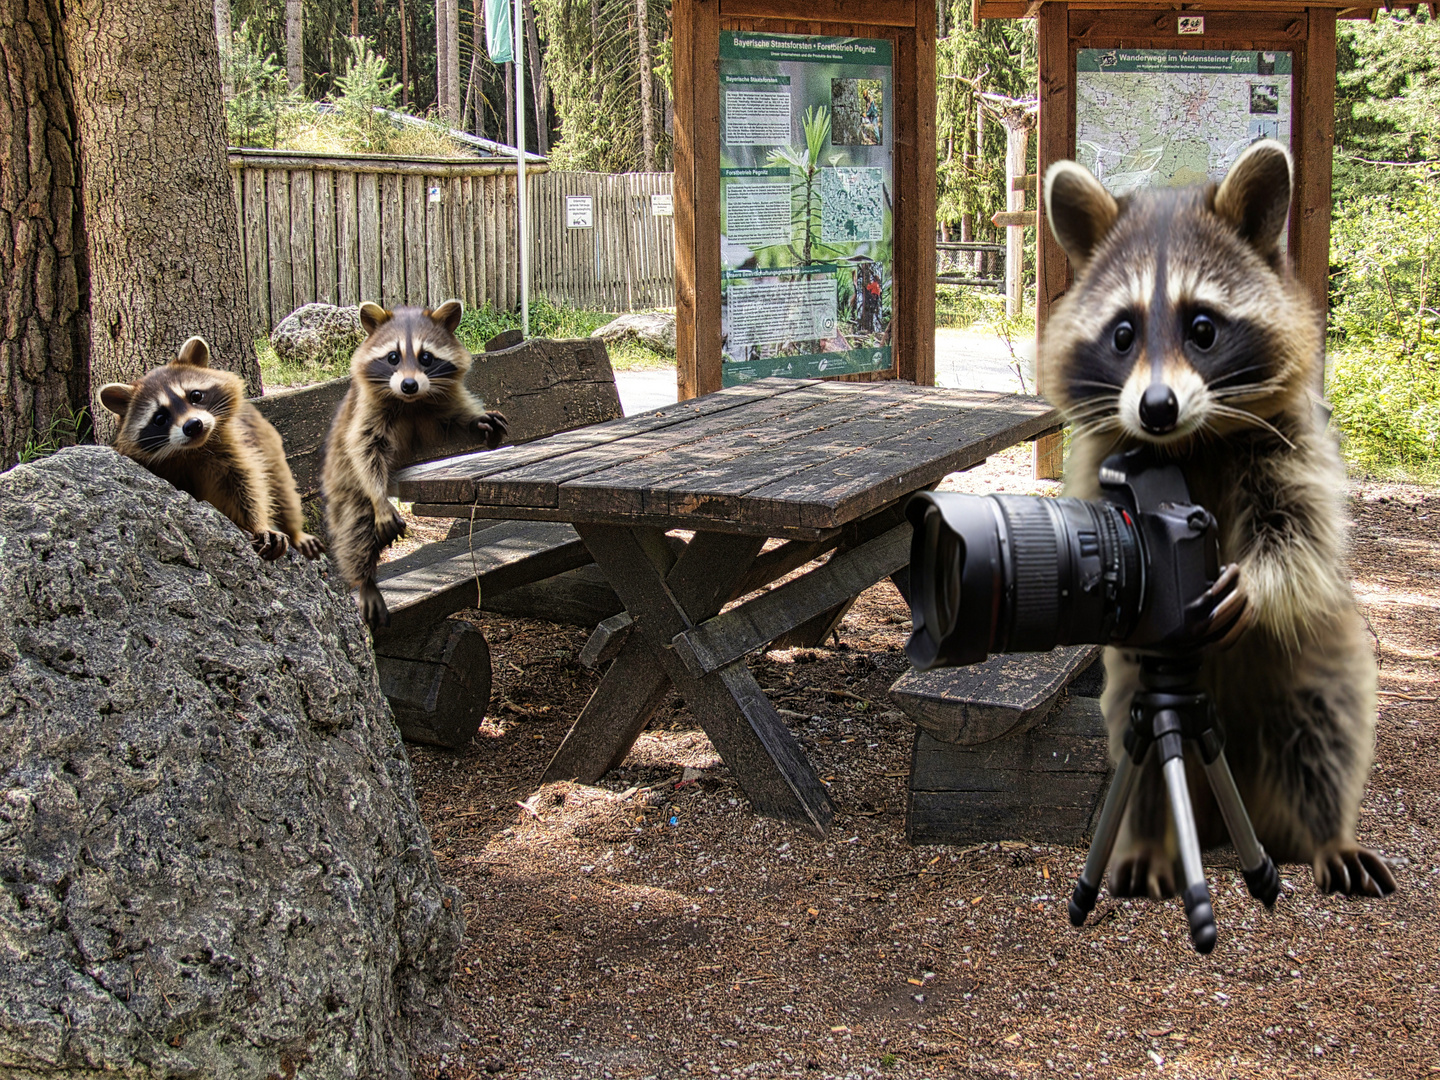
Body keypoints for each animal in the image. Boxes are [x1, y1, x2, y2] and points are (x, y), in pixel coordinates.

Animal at [100, 338, 324, 561]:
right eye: (160, 418)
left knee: (281, 489)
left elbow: (247, 488)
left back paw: (294, 531)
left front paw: (258, 524)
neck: (194, 450)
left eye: (195, 395)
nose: (193, 425)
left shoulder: (236, 448)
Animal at [321, 300, 506, 630]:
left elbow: (454, 421)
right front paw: (380, 498)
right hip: (346, 491)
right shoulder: (366, 412)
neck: (410, 402)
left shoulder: (442, 405)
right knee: (355, 533)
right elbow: (363, 449)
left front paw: (478, 422)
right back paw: (366, 580)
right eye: (393, 357)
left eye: (426, 358)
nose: (409, 385)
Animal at [1042, 141, 1399, 904]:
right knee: (1147, 761)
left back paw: (1327, 836)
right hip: (1137, 699)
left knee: (1324, 734)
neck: (1186, 447)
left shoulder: (1295, 439)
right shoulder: (1097, 453)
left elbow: (1301, 532)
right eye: (1123, 334)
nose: (1156, 408)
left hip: (1312, 659)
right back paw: (1151, 844)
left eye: (1202, 328)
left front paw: (1256, 582)